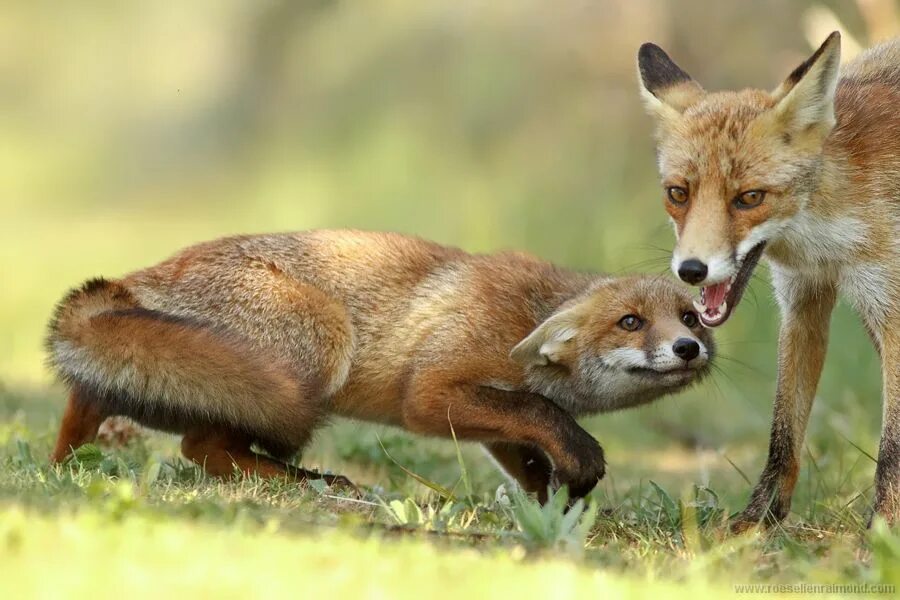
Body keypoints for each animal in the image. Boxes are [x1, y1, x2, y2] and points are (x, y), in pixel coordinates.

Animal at [49, 227, 712, 500]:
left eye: (693, 317)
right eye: (630, 322)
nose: (690, 349)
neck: (525, 317)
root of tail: (141, 276)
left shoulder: (486, 411)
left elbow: (529, 448)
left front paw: (553, 508)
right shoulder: (433, 390)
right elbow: (539, 413)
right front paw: (577, 463)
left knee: (94, 397)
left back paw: (62, 463)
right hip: (318, 347)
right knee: (200, 448)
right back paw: (305, 481)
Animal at [636, 32, 900, 528]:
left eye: (749, 198)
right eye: (678, 193)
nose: (691, 270)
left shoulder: (889, 305)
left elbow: (892, 443)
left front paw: (885, 524)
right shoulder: (802, 301)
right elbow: (784, 434)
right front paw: (758, 522)